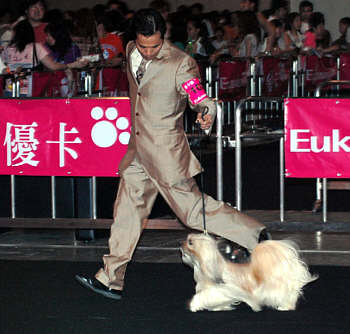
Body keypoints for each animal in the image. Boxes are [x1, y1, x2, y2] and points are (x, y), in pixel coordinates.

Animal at [180, 234, 318, 312]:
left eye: (190, 242)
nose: (180, 244)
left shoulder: (222, 289)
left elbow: (202, 296)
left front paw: (194, 305)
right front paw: (219, 308)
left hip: (276, 288)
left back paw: (285, 307)